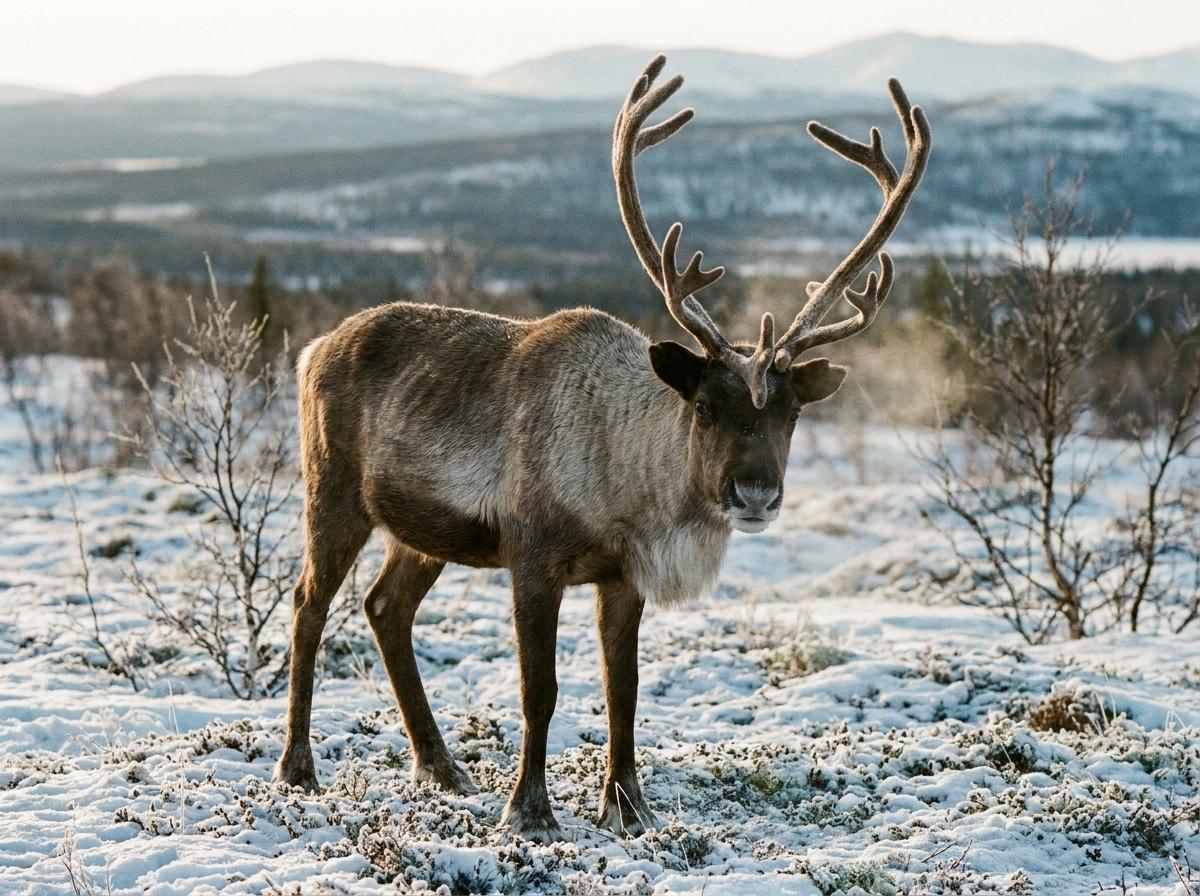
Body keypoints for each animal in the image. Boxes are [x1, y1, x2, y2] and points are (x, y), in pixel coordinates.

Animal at [273, 54, 931, 842]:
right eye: (703, 408)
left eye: (794, 414)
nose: (755, 493)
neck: (628, 488)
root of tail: (311, 347)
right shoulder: (533, 557)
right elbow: (542, 689)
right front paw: (529, 810)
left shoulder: (622, 577)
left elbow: (626, 689)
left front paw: (629, 806)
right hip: (333, 492)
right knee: (308, 605)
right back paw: (297, 768)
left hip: (420, 531)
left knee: (383, 608)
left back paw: (440, 766)